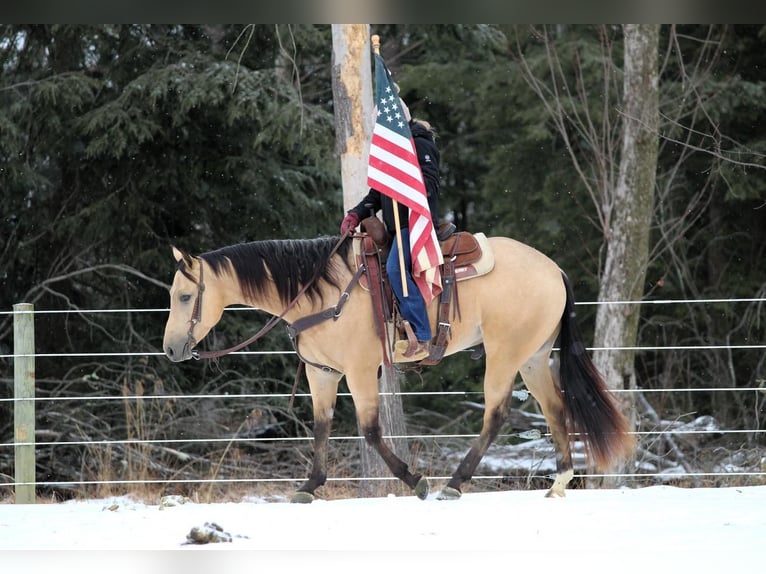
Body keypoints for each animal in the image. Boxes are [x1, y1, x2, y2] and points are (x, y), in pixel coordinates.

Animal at [162, 232, 636, 502]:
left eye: (185, 297)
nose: (170, 350)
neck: (321, 292)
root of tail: (554, 270)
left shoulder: (359, 371)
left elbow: (371, 431)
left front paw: (415, 480)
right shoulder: (322, 372)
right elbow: (321, 426)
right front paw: (309, 487)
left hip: (504, 355)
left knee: (496, 414)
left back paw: (453, 483)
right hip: (534, 357)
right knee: (555, 409)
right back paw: (558, 483)